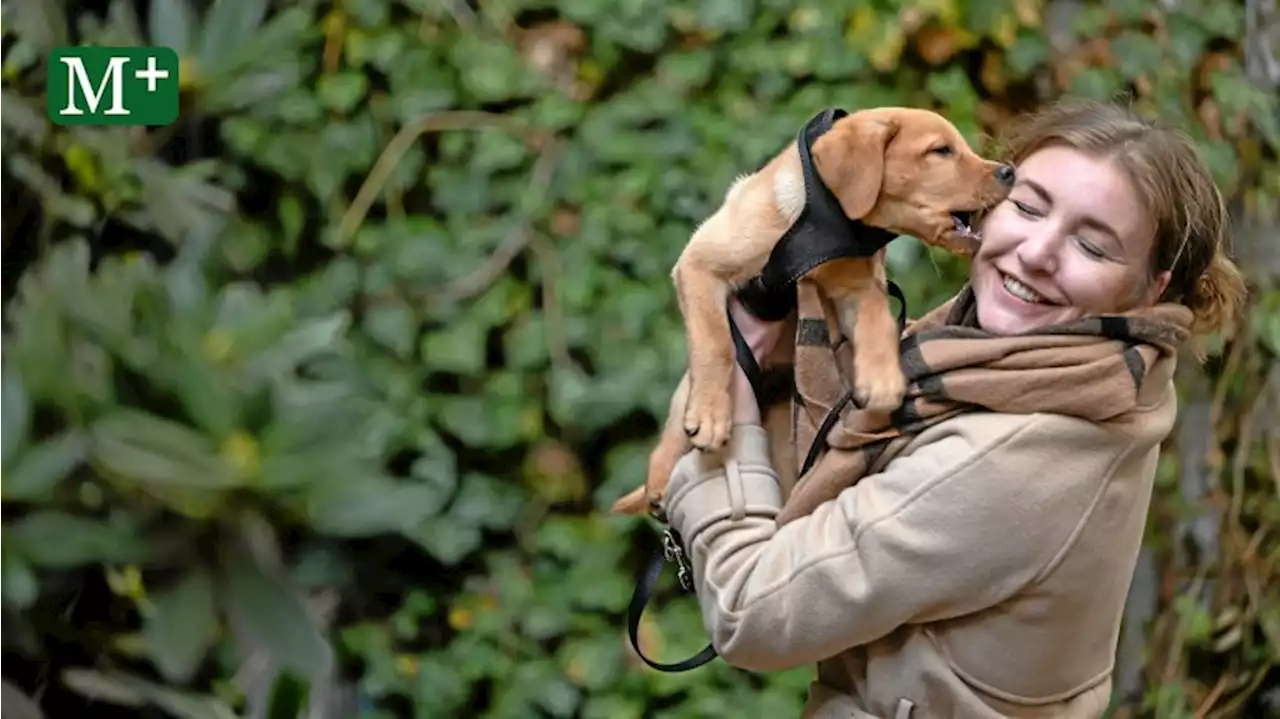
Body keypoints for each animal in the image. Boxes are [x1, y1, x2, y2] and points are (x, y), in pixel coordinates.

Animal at [614, 106, 1013, 514]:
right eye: (940, 151)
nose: (1008, 172)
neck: (828, 224)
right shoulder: (700, 263)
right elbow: (717, 345)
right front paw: (711, 416)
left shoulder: (855, 288)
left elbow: (877, 318)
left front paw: (882, 378)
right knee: (667, 443)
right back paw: (662, 479)